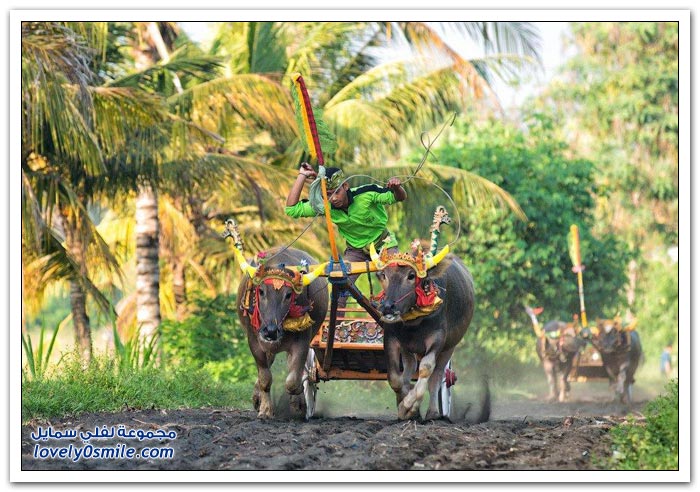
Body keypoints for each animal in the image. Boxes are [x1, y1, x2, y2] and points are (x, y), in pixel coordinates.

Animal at [230, 242, 328, 419]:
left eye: (288, 295)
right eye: (261, 291)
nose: (270, 331)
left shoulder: (302, 343)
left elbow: (293, 381)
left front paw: (299, 402)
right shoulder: (255, 342)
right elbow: (265, 379)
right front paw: (265, 410)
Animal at [369, 243, 476, 421]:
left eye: (411, 275)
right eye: (384, 275)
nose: (388, 307)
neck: (414, 321)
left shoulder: (437, 339)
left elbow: (426, 370)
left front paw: (409, 406)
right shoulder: (391, 338)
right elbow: (396, 379)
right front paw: (404, 406)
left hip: (449, 347)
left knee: (436, 377)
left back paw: (432, 412)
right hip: (408, 348)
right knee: (409, 369)